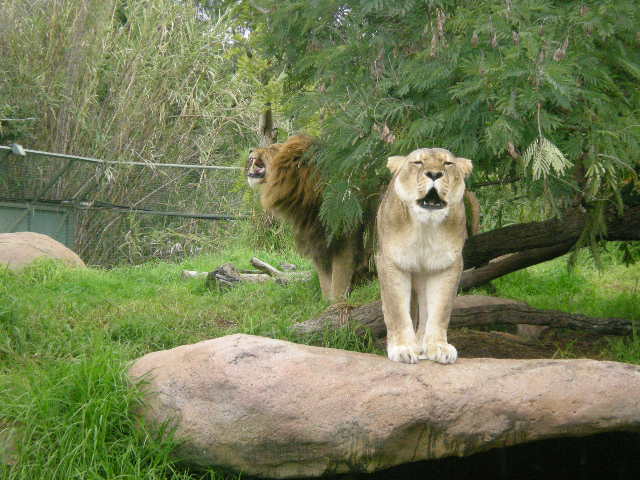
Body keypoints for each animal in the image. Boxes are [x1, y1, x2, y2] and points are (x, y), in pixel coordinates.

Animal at [246, 134, 372, 301]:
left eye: (272, 148)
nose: (250, 150)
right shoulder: (316, 240)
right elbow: (325, 281)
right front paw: (326, 302)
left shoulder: (345, 238)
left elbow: (339, 278)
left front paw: (337, 302)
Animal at [375, 147, 472, 364]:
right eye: (418, 162)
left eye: (448, 164)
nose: (434, 174)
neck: (425, 227)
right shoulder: (391, 262)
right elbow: (397, 311)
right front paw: (402, 348)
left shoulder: (447, 266)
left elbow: (439, 312)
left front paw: (438, 347)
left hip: (424, 275)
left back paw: (422, 344)